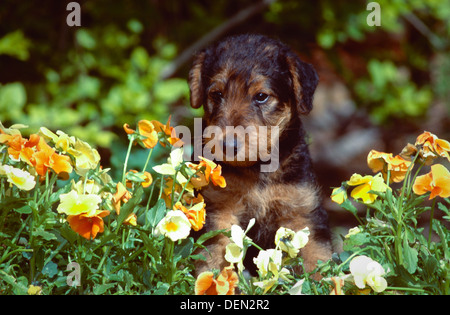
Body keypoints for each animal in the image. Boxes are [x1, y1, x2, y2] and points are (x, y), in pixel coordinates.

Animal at [188, 34, 332, 276]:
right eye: (217, 94)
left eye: (262, 96)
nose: (228, 145)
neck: (257, 169)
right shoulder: (220, 208)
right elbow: (216, 253)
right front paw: (216, 281)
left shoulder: (302, 210)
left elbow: (317, 255)